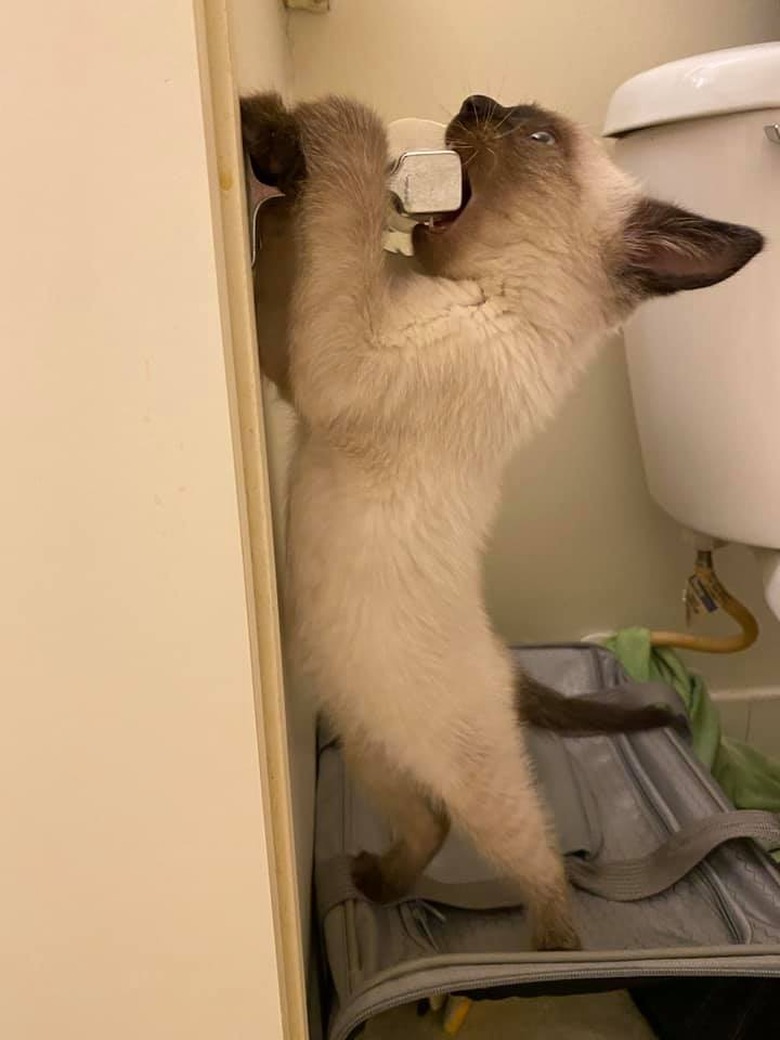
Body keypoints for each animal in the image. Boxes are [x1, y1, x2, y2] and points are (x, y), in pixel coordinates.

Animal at [243, 93, 765, 948]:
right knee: (428, 823)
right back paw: (375, 882)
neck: (478, 294)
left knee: (539, 864)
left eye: (535, 135)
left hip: (477, 781)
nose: (474, 103)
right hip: (372, 743)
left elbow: (347, 211)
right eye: (505, 114)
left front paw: (343, 127)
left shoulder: (339, 368)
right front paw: (274, 135)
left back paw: (555, 956)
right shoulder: (299, 356)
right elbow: (307, 244)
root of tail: (501, 660)